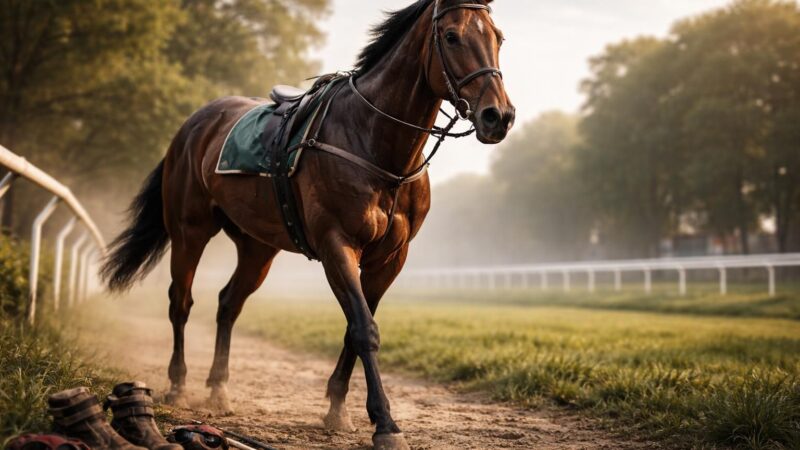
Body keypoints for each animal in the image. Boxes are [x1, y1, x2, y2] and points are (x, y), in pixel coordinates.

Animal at [101, 0, 513, 448]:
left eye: (498, 37)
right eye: (452, 36)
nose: (499, 116)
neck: (374, 143)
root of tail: (194, 124)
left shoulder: (390, 258)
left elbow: (355, 327)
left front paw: (337, 408)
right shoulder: (337, 244)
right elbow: (364, 328)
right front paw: (385, 423)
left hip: (257, 245)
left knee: (228, 302)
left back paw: (219, 388)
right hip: (189, 229)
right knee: (181, 300)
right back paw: (178, 384)